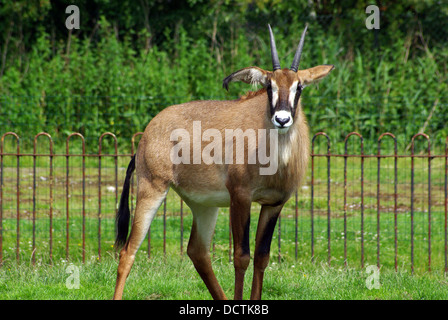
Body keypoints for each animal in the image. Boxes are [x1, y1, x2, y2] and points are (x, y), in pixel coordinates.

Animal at [114, 25, 334, 300]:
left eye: (299, 87)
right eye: (269, 86)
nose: (282, 119)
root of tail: (148, 131)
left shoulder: (274, 204)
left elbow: (262, 257)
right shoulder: (240, 197)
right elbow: (241, 257)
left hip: (204, 206)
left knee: (197, 252)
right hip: (152, 189)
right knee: (128, 252)